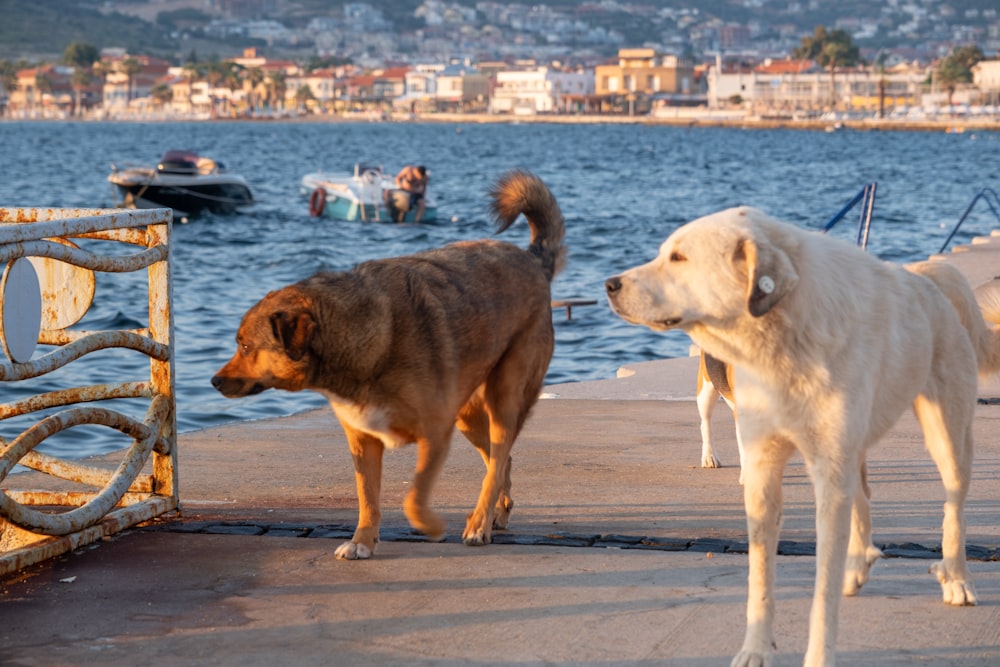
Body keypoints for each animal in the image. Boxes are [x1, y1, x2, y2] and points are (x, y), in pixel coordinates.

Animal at [212, 171, 568, 560]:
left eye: (246, 345)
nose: (214, 382)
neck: (363, 340)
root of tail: (532, 261)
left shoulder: (435, 435)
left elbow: (413, 498)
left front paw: (431, 527)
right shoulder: (363, 442)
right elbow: (368, 498)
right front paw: (362, 541)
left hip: (504, 395)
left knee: (498, 456)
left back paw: (478, 524)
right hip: (468, 415)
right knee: (500, 462)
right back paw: (496, 513)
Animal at [600, 206, 1000, 664]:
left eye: (679, 258)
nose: (609, 284)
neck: (781, 345)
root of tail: (922, 276)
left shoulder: (828, 477)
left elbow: (821, 595)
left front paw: (818, 654)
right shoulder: (764, 471)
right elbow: (760, 579)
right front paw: (755, 650)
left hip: (947, 436)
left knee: (954, 507)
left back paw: (957, 578)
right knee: (859, 493)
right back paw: (857, 565)